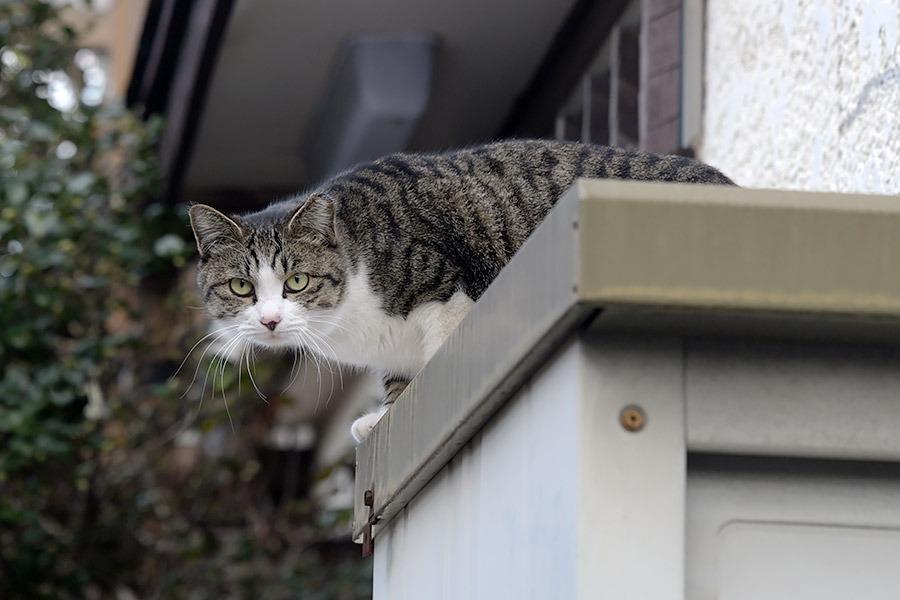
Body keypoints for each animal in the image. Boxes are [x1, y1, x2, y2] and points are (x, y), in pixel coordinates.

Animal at [188, 139, 732, 440]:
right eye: (241, 287)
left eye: (297, 281)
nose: (270, 320)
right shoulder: (394, 350)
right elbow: (399, 382)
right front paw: (381, 417)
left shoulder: (440, 289)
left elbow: (436, 356)